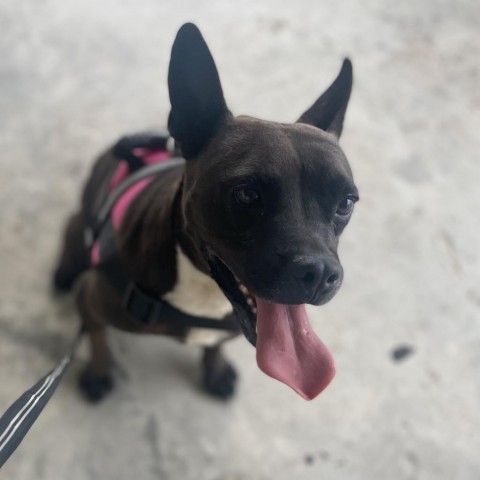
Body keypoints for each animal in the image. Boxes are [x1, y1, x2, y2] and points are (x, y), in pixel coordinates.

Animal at [54, 24, 358, 404]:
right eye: (246, 194)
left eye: (346, 202)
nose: (318, 273)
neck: (203, 289)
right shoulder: (92, 298)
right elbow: (98, 339)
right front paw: (98, 372)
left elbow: (215, 346)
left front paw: (215, 369)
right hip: (79, 229)